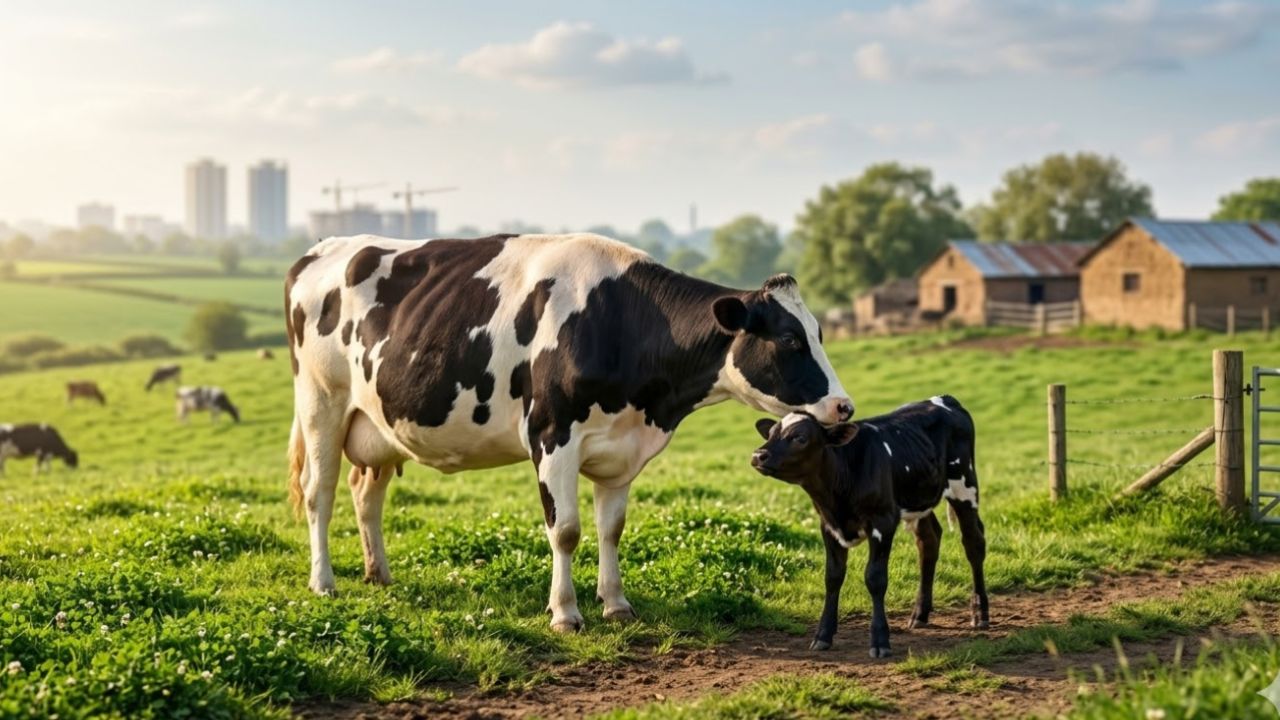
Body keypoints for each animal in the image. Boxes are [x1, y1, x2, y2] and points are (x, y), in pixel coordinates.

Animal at [285, 232, 853, 632]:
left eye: (821, 334)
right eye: (789, 339)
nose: (843, 406)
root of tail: (319, 250)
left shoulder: (622, 448)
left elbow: (611, 528)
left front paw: (617, 604)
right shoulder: (552, 435)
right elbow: (566, 530)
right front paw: (565, 613)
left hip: (377, 423)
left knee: (365, 493)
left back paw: (378, 573)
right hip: (321, 402)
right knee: (320, 492)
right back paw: (324, 582)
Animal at [750, 395, 988, 658]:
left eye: (800, 437)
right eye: (771, 432)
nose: (758, 454)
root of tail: (944, 399)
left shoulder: (882, 522)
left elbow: (875, 578)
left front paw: (880, 640)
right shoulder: (829, 527)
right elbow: (832, 577)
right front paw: (823, 635)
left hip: (964, 486)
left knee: (974, 543)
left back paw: (980, 614)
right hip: (918, 497)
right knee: (929, 542)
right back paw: (920, 614)